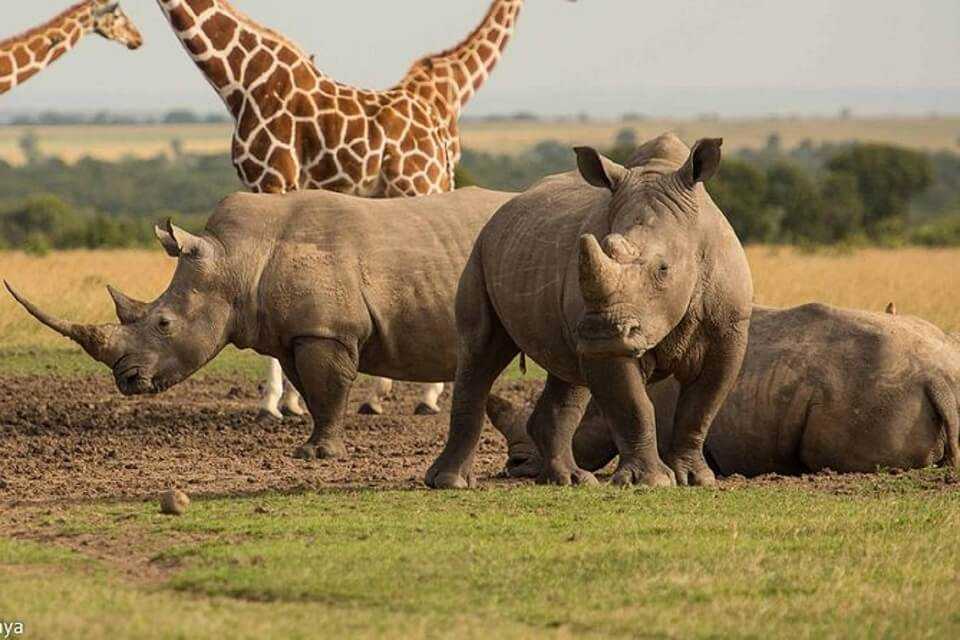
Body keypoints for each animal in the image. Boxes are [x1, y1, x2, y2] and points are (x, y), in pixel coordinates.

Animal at [6, 187, 515, 460]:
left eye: (164, 324)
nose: (126, 380)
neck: (236, 259)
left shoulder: (325, 330)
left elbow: (329, 390)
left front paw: (317, 455)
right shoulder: (293, 335)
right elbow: (314, 393)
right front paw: (309, 447)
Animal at [157, 0, 541, 422]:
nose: (131, 37)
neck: (246, 81)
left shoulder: (275, 177)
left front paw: (277, 403)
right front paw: (291, 401)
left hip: (420, 183)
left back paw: (426, 395)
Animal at [425, 133, 753, 489]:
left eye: (664, 269)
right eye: (604, 247)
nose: (601, 331)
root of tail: (505, 206)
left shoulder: (728, 330)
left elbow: (701, 407)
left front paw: (696, 479)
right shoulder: (611, 345)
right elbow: (633, 406)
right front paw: (648, 482)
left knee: (567, 373)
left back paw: (568, 480)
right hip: (480, 251)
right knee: (480, 351)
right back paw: (451, 482)